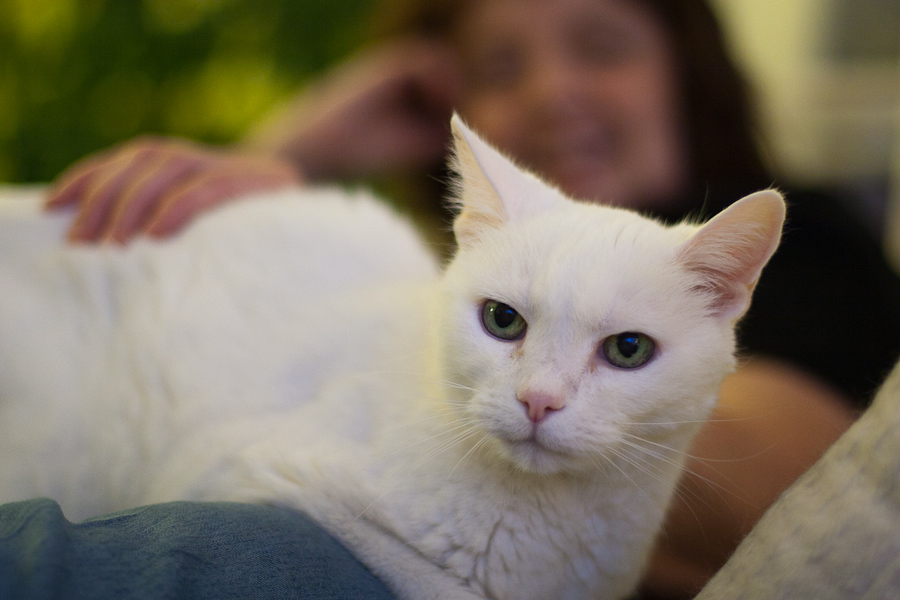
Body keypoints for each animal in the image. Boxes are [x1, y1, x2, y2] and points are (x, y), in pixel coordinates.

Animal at [0, 117, 784, 600]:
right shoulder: (254, 475)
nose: (538, 400)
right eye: (503, 320)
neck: (548, 537)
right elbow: (431, 581)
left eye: (627, 350)